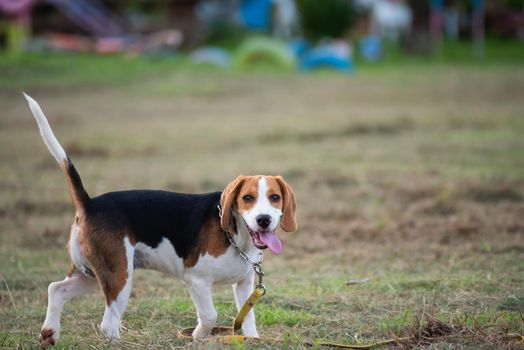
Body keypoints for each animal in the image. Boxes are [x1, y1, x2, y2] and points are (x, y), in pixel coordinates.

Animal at [24, 93, 296, 348]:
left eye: (274, 197)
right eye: (247, 198)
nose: (263, 219)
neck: (236, 237)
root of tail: (90, 204)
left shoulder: (244, 285)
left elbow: (247, 318)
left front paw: (251, 339)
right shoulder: (197, 280)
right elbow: (210, 315)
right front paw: (198, 336)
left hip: (92, 272)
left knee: (56, 289)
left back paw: (49, 332)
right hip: (119, 276)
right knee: (108, 324)